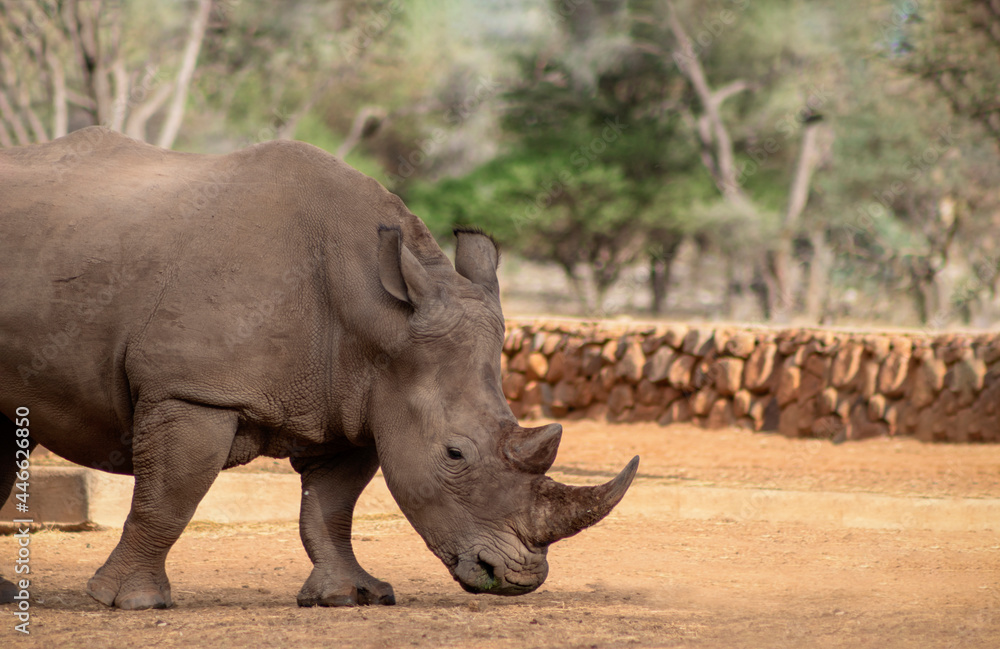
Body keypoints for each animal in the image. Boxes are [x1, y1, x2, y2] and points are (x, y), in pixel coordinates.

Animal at [0, 127, 638, 610]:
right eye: (455, 454)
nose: (519, 579)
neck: (380, 317)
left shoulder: (361, 400)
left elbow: (331, 508)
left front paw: (351, 597)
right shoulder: (194, 390)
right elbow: (168, 498)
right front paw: (131, 603)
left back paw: (6, 595)